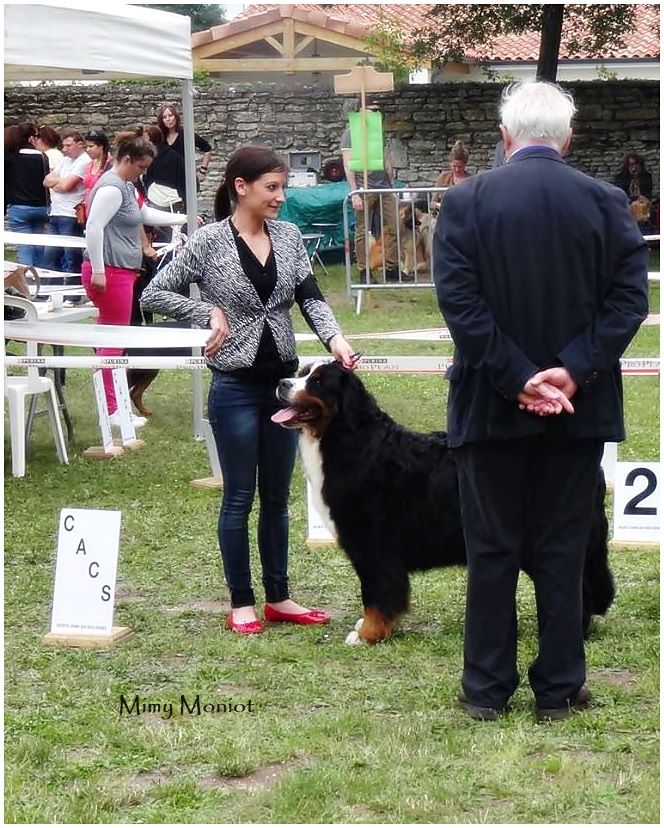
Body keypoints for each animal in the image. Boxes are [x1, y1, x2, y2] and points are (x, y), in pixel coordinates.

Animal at [272, 362, 616, 648]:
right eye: (302, 372)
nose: (281, 382)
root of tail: (597, 473)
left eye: (317, 382)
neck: (349, 440)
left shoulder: (373, 547)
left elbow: (377, 595)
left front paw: (368, 634)